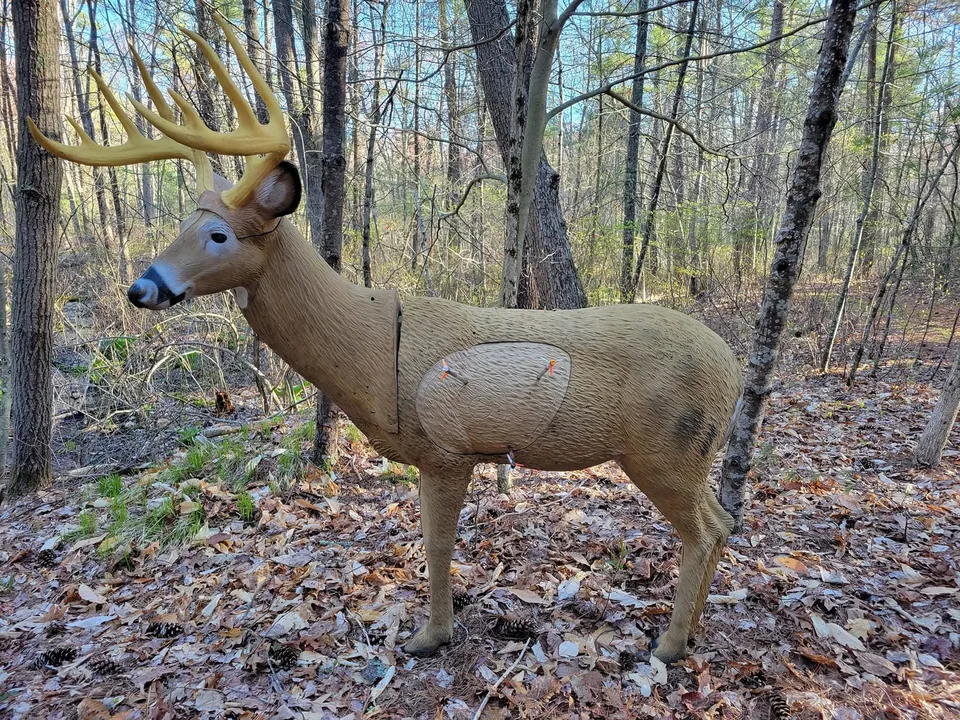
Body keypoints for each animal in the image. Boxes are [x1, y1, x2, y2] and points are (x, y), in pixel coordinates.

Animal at [31, 16, 743, 664]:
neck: (374, 348)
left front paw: (431, 637)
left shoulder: (445, 448)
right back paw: (692, 632)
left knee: (707, 529)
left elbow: (435, 545)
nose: (141, 288)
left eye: (219, 235)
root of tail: (734, 369)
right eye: (183, 224)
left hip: (666, 448)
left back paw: (668, 645)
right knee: (724, 521)